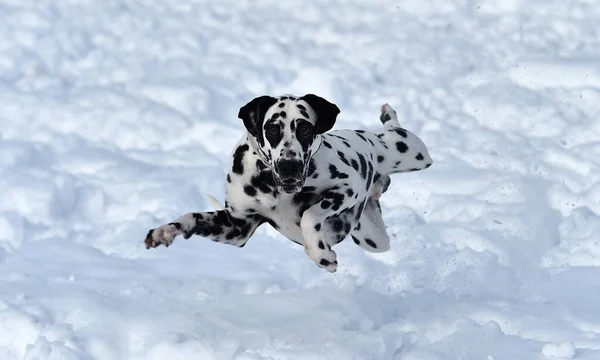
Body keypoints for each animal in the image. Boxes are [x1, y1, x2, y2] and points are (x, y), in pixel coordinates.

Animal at [145, 94, 432, 272]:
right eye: (272, 129)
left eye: (305, 128)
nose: (289, 166)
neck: (273, 187)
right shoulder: (237, 226)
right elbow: (190, 217)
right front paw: (165, 231)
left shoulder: (348, 187)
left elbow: (309, 215)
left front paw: (321, 255)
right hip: (372, 237)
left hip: (412, 153)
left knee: (396, 131)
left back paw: (388, 116)